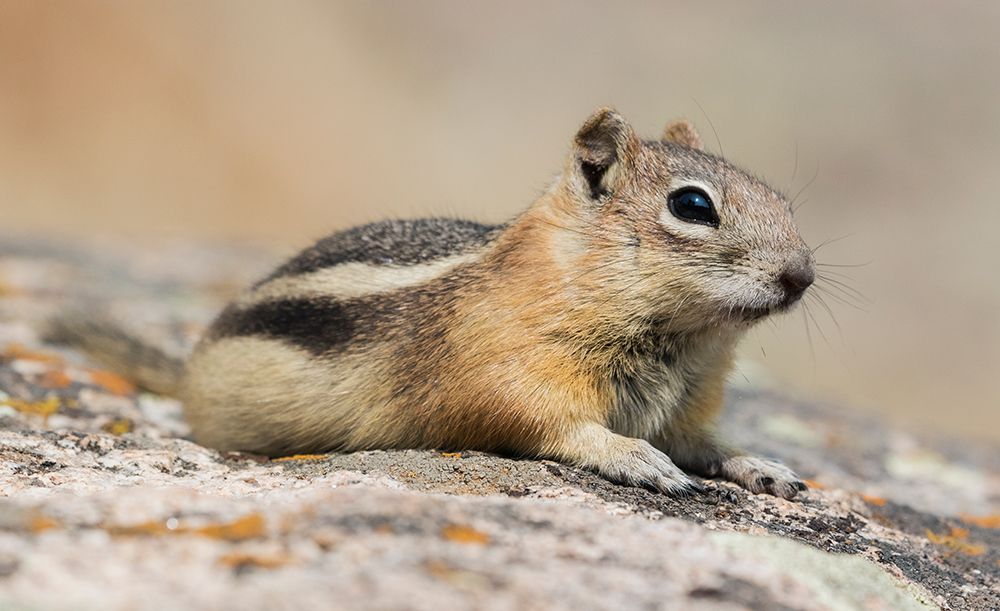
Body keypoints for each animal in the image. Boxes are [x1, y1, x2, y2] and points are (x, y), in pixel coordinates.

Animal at [52, 108, 815, 499]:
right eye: (693, 206)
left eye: (781, 199)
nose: (802, 275)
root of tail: (185, 370)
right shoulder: (508, 373)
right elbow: (550, 425)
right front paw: (635, 457)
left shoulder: (688, 405)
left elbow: (704, 443)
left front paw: (761, 464)